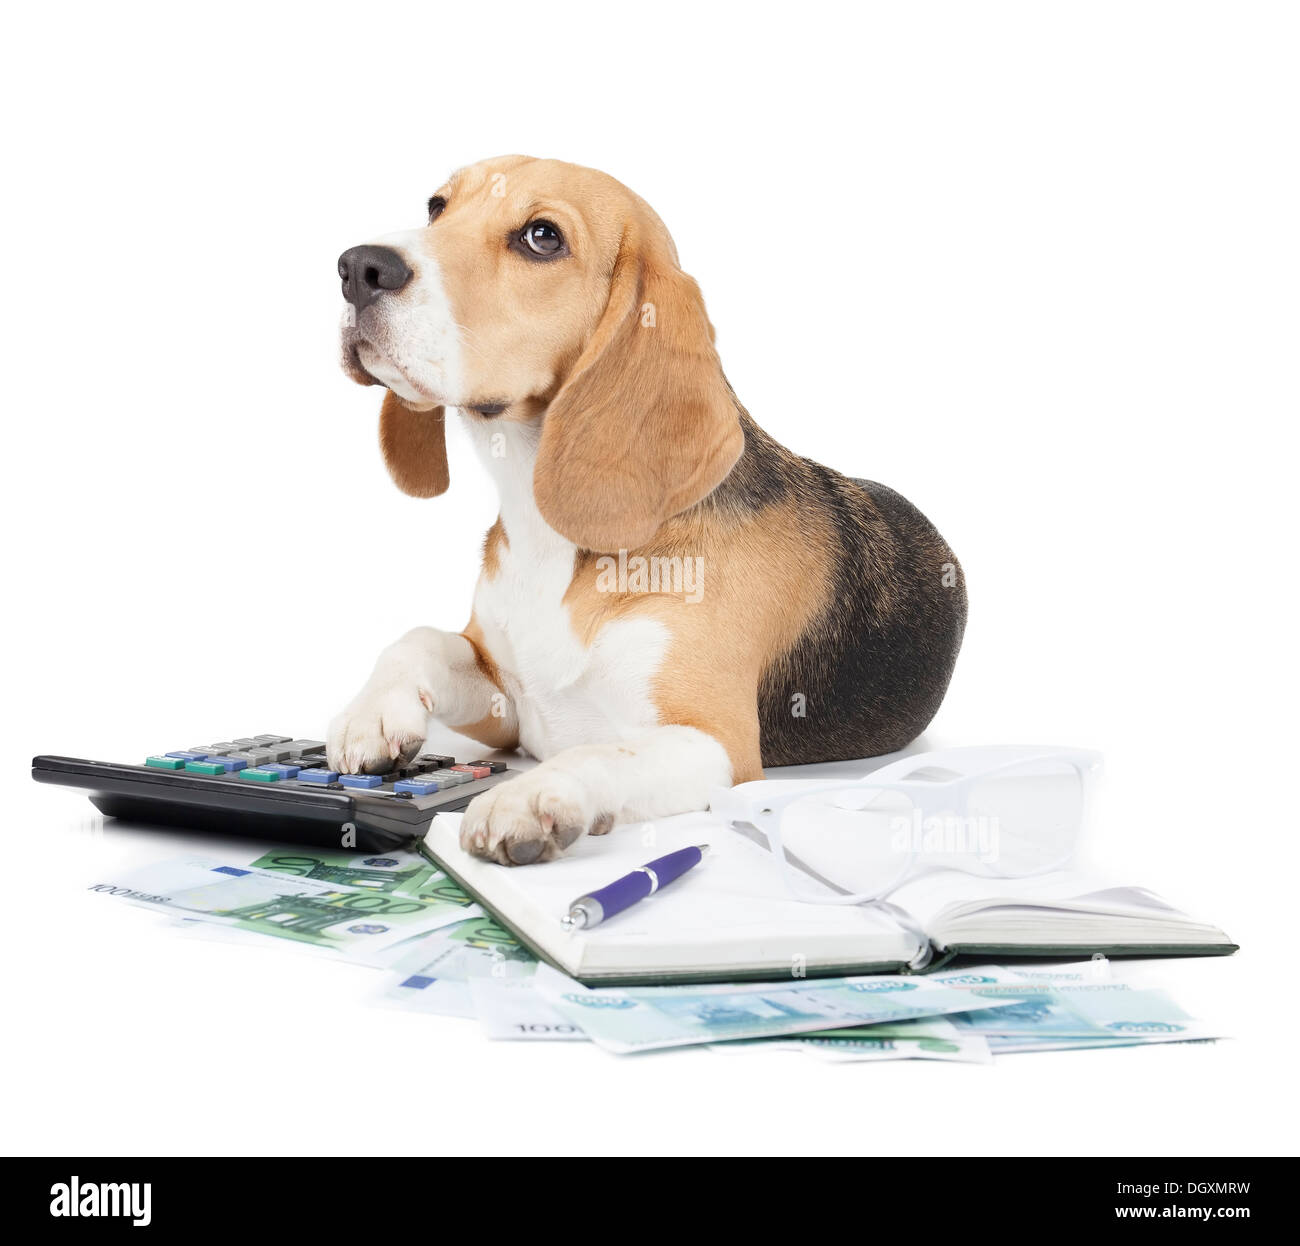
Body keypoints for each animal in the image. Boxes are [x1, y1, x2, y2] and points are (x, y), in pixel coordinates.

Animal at [332, 156, 967, 868]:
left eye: (542, 237)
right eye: (437, 207)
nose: (358, 267)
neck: (546, 532)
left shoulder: (715, 743)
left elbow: (603, 753)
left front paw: (530, 796)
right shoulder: (507, 706)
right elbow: (421, 637)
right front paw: (372, 713)